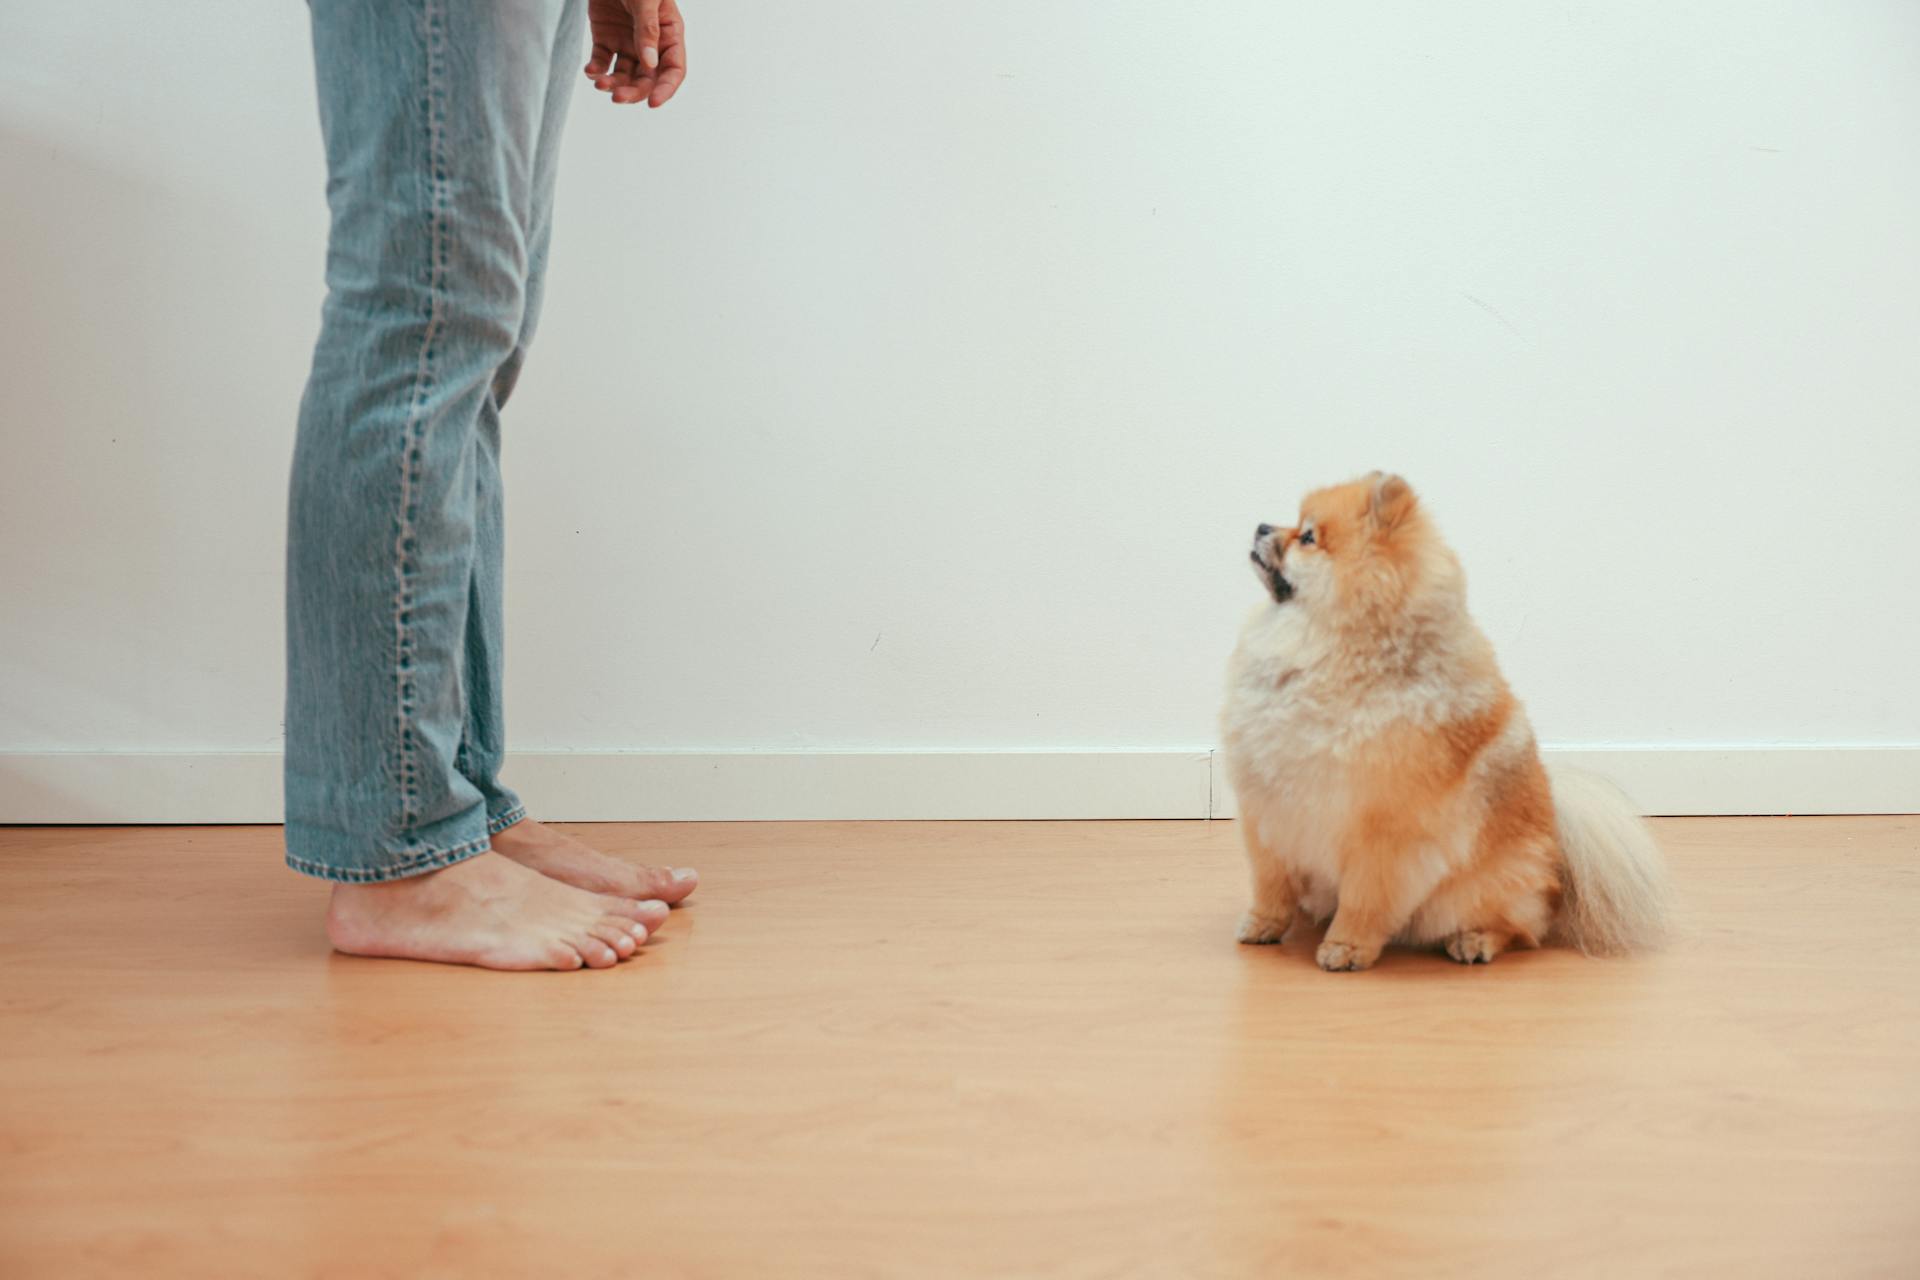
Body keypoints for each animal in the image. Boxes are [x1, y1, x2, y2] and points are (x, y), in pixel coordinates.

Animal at [1228, 474, 1666, 971]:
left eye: (1307, 537)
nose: (1262, 526)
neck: (1333, 652)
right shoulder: (1269, 809)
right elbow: (1271, 883)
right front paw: (1263, 924)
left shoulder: (1385, 832)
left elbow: (1364, 897)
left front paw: (1346, 946)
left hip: (1483, 889)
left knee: (1523, 931)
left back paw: (1475, 941)